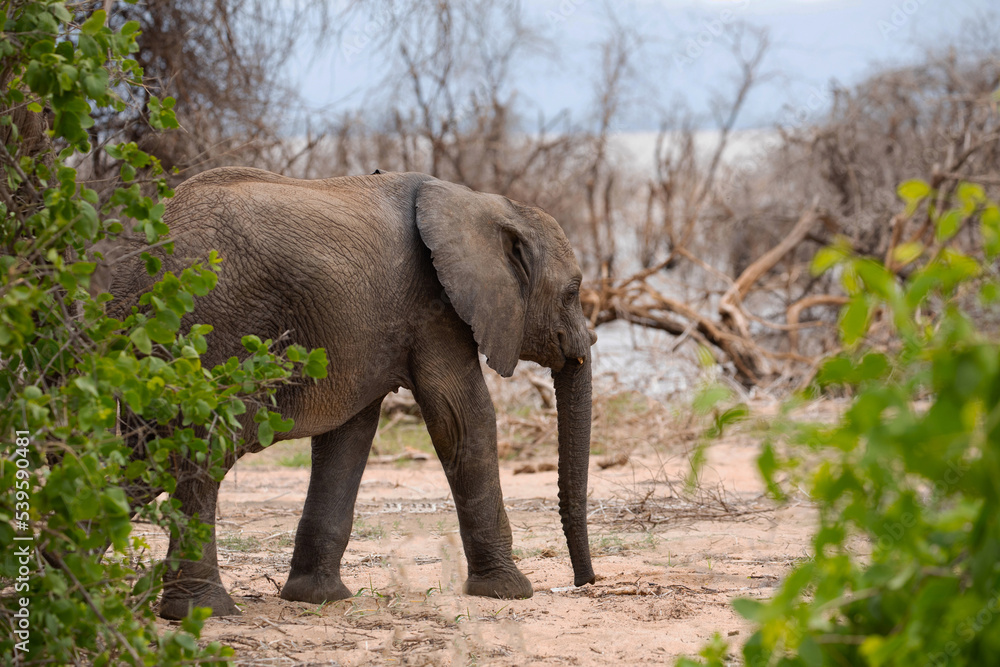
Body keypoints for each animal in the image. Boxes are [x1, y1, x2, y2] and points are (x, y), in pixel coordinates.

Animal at [99, 167, 596, 620]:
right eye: (572, 292)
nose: (584, 582)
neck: (484, 202)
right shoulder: (434, 310)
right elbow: (462, 419)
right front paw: (510, 592)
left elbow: (349, 435)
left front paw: (318, 599)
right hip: (209, 334)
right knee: (200, 454)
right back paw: (204, 611)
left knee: (143, 457)